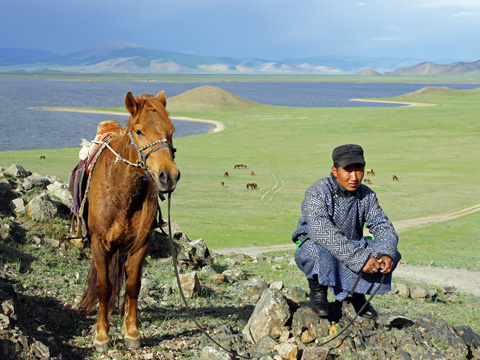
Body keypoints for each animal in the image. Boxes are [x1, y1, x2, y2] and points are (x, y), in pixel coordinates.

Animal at [79, 91, 180, 352]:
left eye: (171, 130)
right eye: (139, 131)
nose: (169, 176)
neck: (121, 190)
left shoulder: (141, 244)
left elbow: (133, 286)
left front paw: (132, 332)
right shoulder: (99, 244)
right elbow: (104, 287)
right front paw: (102, 336)